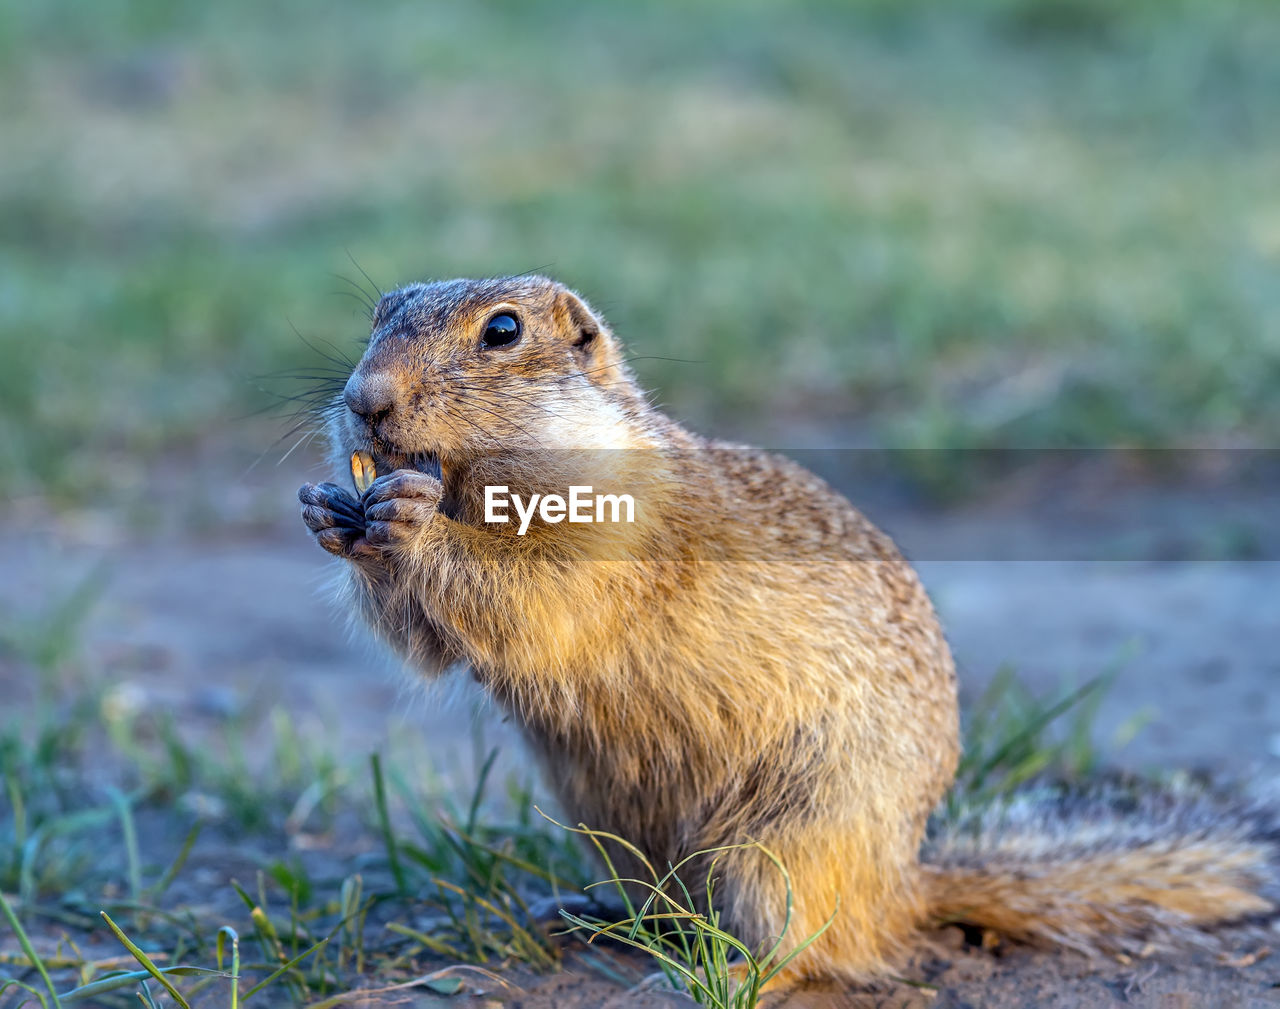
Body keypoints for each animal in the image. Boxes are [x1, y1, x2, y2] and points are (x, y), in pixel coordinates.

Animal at [296, 275, 1280, 983]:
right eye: (379, 312)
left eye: (502, 331)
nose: (363, 399)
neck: (474, 483)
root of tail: (904, 884)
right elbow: (429, 641)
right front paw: (329, 509)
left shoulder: (614, 535)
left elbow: (536, 596)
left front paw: (412, 520)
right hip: (612, 826)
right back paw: (589, 915)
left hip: (780, 844)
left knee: (818, 952)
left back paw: (736, 971)